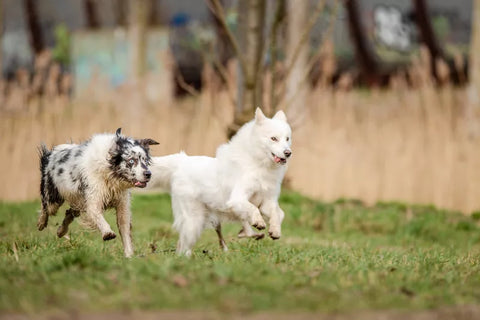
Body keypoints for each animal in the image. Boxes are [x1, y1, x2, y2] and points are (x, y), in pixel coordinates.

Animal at [148, 109, 292, 256]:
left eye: (287, 139)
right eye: (273, 138)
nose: (288, 153)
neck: (259, 164)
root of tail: (181, 161)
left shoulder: (267, 202)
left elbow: (277, 214)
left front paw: (275, 230)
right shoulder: (237, 198)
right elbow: (253, 208)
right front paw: (259, 221)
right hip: (194, 220)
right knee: (183, 246)